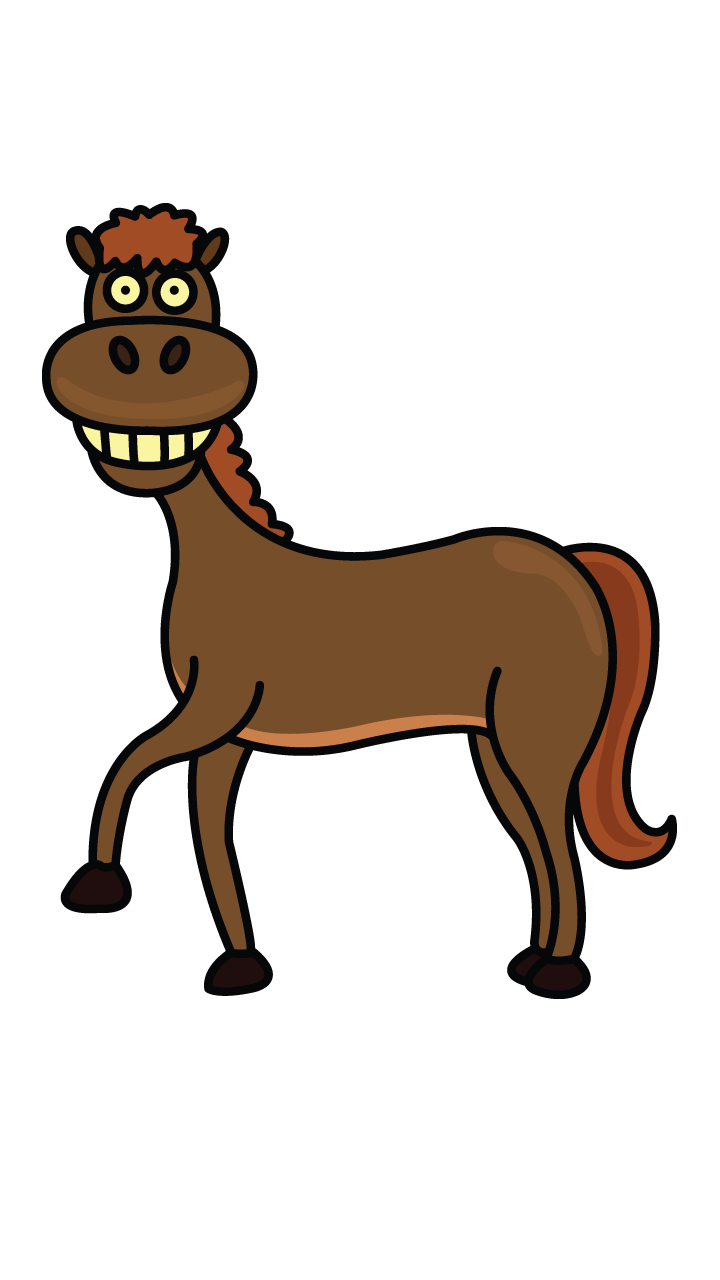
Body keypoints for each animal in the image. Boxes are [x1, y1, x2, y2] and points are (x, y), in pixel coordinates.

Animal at [46, 206, 671, 997]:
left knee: (558, 846)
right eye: (116, 291)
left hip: (538, 742)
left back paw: (558, 971)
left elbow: (129, 763)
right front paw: (240, 964)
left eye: (184, 293)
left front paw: (99, 881)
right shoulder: (227, 733)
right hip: (498, 748)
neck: (225, 563)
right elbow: (208, 832)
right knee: (537, 845)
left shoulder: (213, 707)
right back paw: (532, 960)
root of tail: (574, 565)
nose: (149, 356)